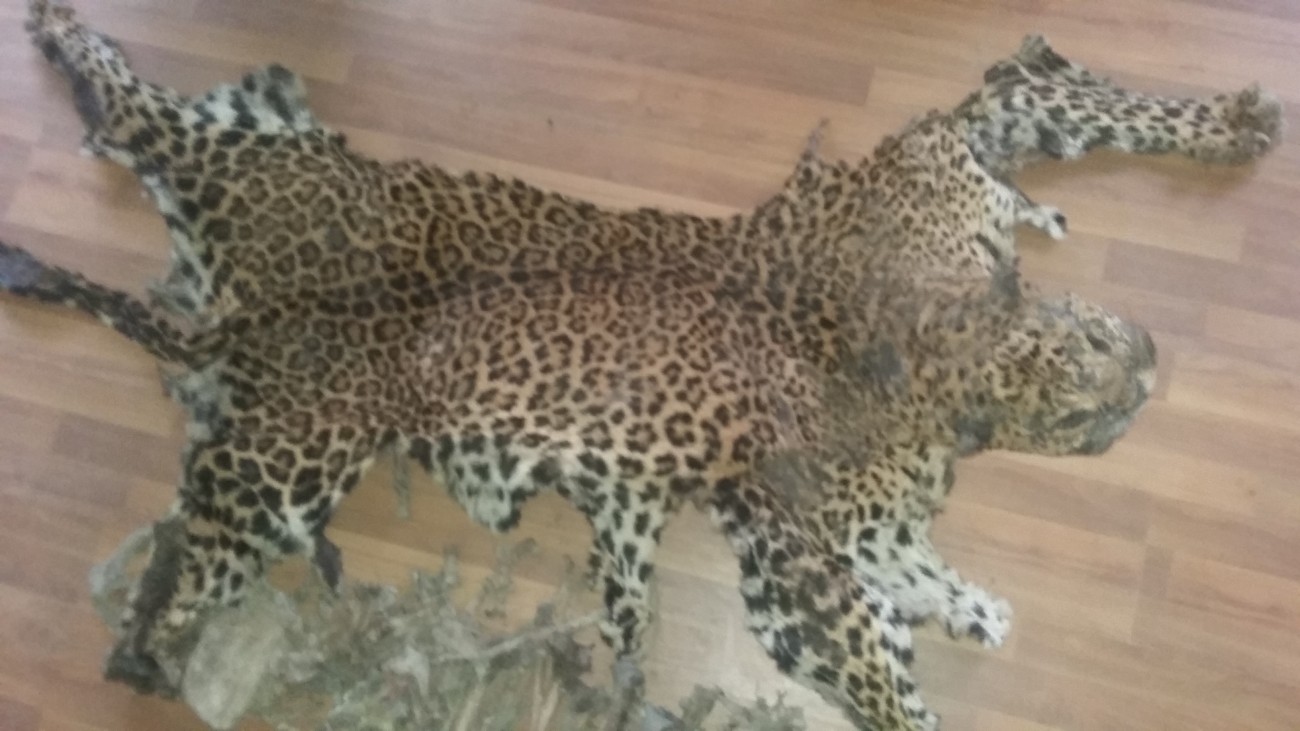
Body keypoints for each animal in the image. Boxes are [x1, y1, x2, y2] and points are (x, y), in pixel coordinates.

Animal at [0, 2, 1281, 729]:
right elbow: (879, 671)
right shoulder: (792, 551)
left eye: (1103, 363)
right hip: (286, 426)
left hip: (271, 190)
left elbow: (1041, 92)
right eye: (1083, 399)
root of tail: (225, 302)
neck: (934, 336)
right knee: (130, 114)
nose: (1148, 371)